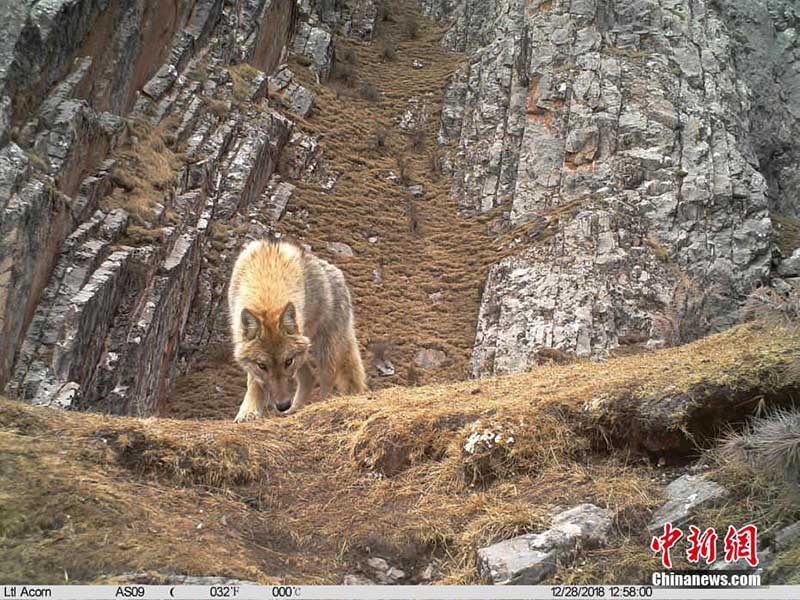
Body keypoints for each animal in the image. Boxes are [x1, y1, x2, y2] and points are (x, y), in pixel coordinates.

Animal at [223, 239, 364, 422]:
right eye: (262, 366)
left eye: (287, 361)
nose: (283, 405)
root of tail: (337, 273)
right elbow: (254, 383)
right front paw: (249, 411)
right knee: (309, 377)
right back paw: (296, 409)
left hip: (324, 349)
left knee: (326, 380)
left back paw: (319, 405)